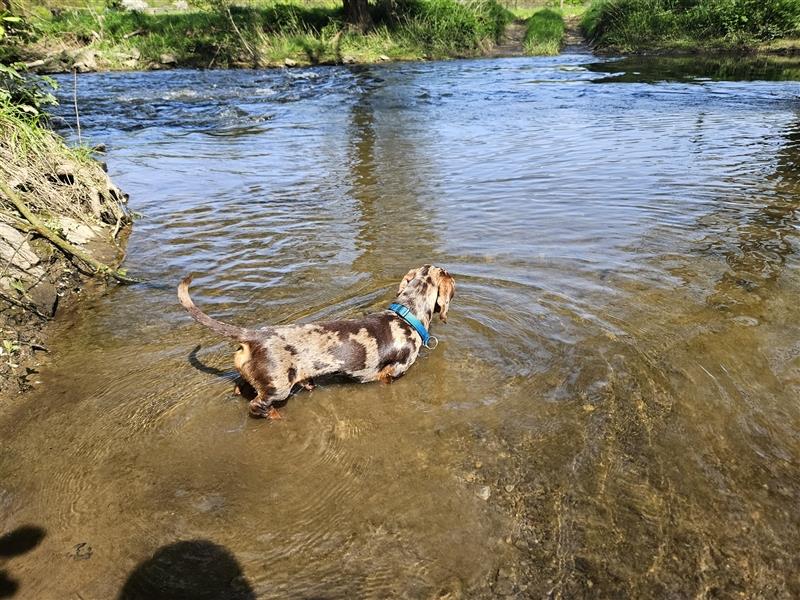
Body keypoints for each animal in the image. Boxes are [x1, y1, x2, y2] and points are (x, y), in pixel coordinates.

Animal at [180, 264, 456, 420]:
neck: (406, 315)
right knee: (257, 406)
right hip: (278, 388)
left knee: (239, 389)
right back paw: (277, 417)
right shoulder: (391, 375)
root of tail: (254, 335)